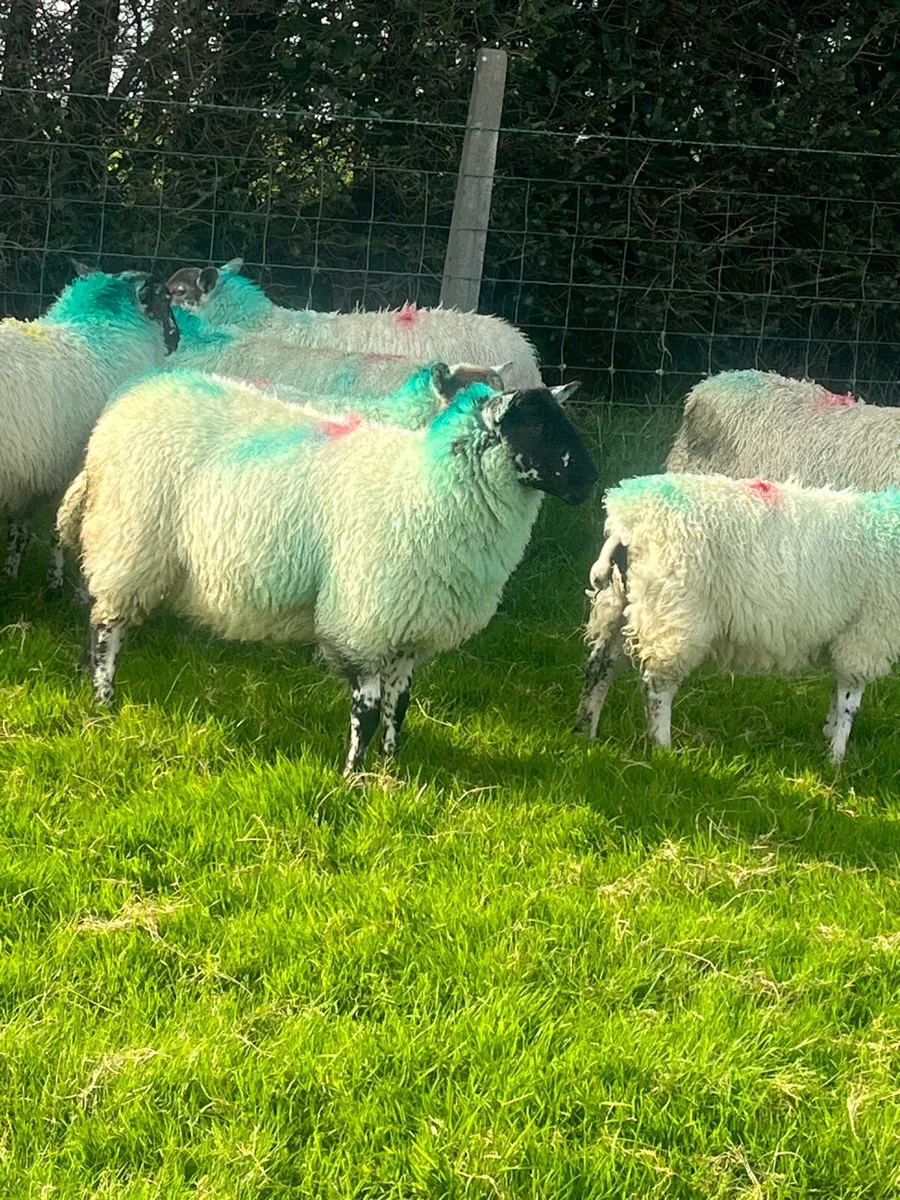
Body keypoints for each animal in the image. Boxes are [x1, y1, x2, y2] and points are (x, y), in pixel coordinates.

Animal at [1, 264, 179, 591]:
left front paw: (10, 576)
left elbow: (20, 530)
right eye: (165, 298)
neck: (99, 330)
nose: (177, 339)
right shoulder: (72, 469)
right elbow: (58, 530)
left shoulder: (29, 474)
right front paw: (55, 585)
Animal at [58, 368, 597, 775]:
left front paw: (391, 768)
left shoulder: (411, 627)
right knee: (106, 627)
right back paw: (104, 701)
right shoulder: (364, 620)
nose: (591, 481)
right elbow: (368, 709)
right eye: (536, 427)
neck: (424, 486)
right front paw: (353, 776)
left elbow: (400, 705)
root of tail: (127, 404)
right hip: (129, 545)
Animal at [575, 471, 900, 764]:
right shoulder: (867, 633)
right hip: (674, 611)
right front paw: (836, 760)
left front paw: (829, 737)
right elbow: (849, 702)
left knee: (599, 667)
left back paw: (585, 732)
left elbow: (837, 693)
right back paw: (663, 749)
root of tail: (627, 519)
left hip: (622, 605)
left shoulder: (850, 634)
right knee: (656, 686)